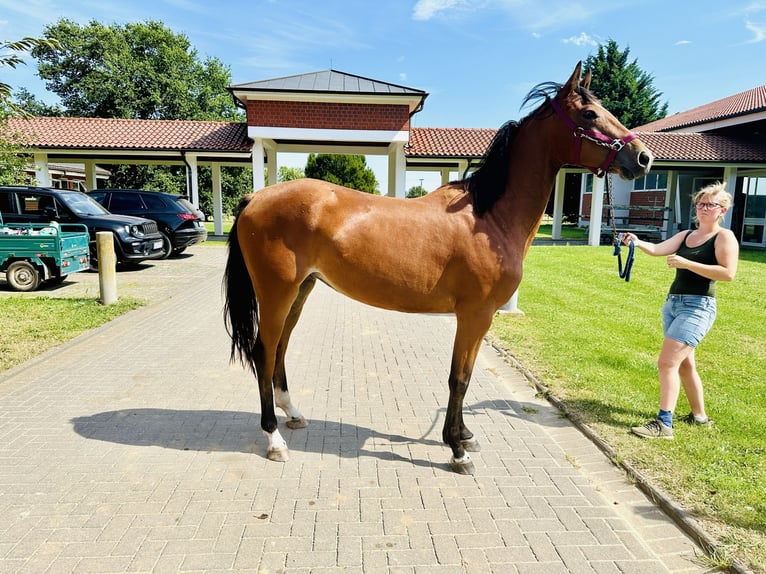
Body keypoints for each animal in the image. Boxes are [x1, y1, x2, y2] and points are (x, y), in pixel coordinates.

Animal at [222, 63, 656, 476]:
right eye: (589, 114)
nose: (643, 157)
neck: (488, 216)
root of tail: (255, 197)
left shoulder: (482, 319)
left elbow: (466, 376)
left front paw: (464, 435)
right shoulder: (474, 315)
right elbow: (458, 378)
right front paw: (457, 450)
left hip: (301, 290)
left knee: (280, 349)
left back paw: (293, 415)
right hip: (277, 293)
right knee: (263, 352)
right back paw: (275, 439)